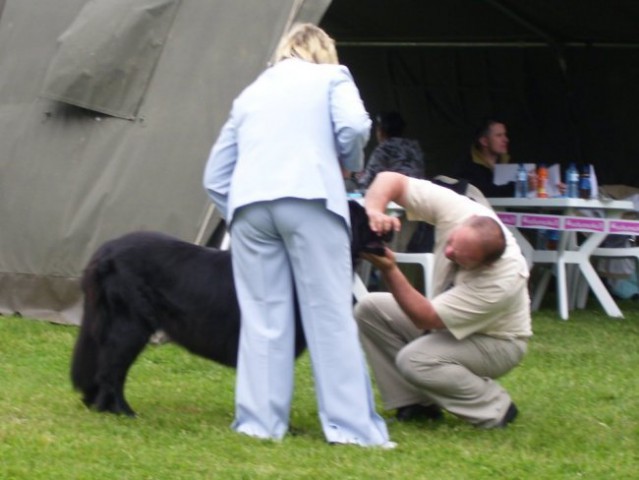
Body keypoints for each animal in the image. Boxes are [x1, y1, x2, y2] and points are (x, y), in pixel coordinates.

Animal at [70, 201, 390, 414]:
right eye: (366, 220)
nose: (389, 229)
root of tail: (104, 251)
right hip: (130, 326)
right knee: (112, 369)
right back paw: (122, 411)